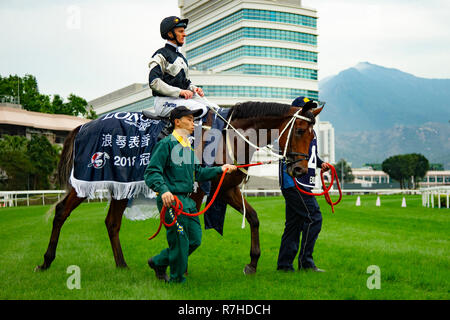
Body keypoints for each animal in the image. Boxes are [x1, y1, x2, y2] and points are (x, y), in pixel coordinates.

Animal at [35, 100, 324, 276]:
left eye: (314, 135)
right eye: (300, 131)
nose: (300, 170)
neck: (227, 135)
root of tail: (84, 125)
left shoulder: (226, 188)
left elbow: (253, 218)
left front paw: (252, 263)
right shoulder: (197, 190)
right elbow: (188, 224)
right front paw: (177, 264)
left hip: (121, 185)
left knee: (112, 223)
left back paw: (122, 264)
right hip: (87, 180)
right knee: (61, 212)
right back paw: (46, 260)